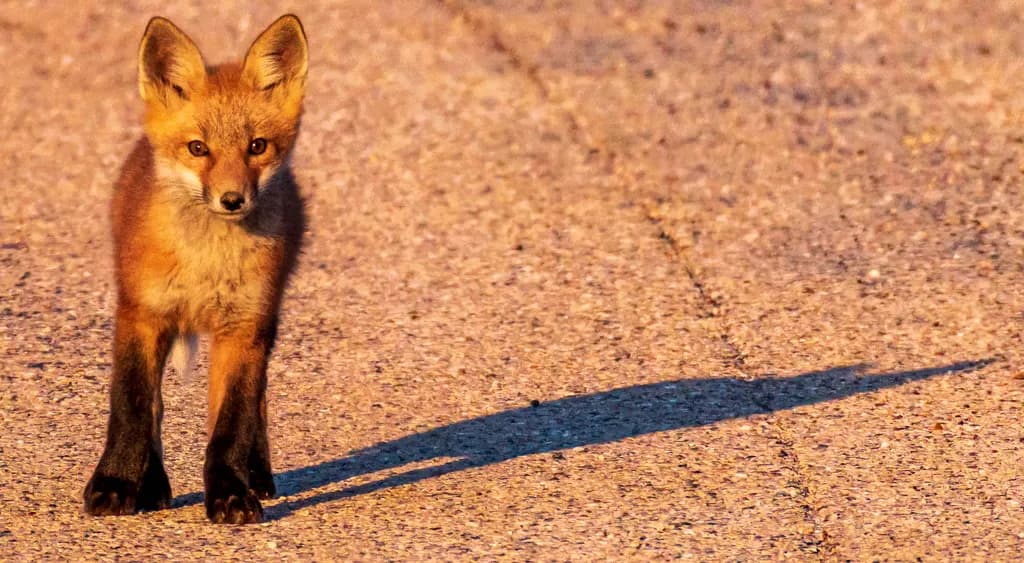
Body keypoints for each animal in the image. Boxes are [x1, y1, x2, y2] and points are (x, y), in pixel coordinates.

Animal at [83, 14, 308, 524]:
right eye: (198, 148)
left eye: (257, 147)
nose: (232, 200)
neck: (207, 264)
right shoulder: (142, 314)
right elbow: (131, 407)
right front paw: (115, 483)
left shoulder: (243, 327)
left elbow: (230, 424)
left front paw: (230, 494)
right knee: (155, 408)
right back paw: (151, 483)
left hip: (265, 323)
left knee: (255, 403)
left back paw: (257, 474)